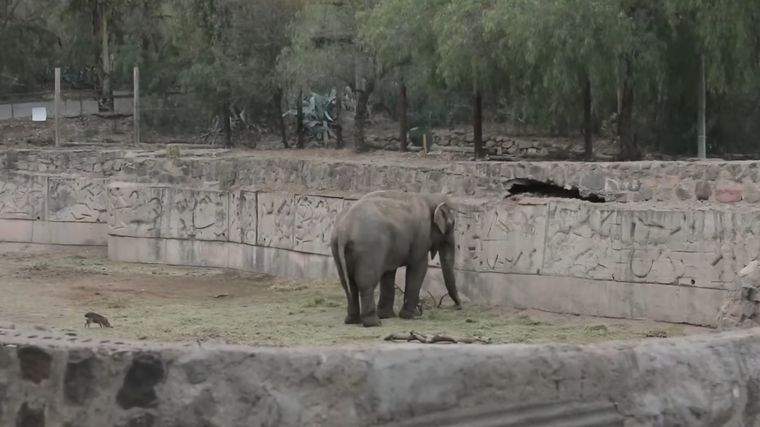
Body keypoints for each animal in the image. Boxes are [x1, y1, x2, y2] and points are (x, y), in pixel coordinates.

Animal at [330, 190, 462, 327]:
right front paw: (411, 316)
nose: (458, 306)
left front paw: (387, 315)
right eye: (451, 225)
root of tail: (344, 231)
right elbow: (418, 267)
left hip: (337, 247)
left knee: (348, 284)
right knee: (366, 283)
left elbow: (388, 273)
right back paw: (374, 323)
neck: (429, 198)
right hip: (369, 248)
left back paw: (353, 321)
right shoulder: (421, 236)